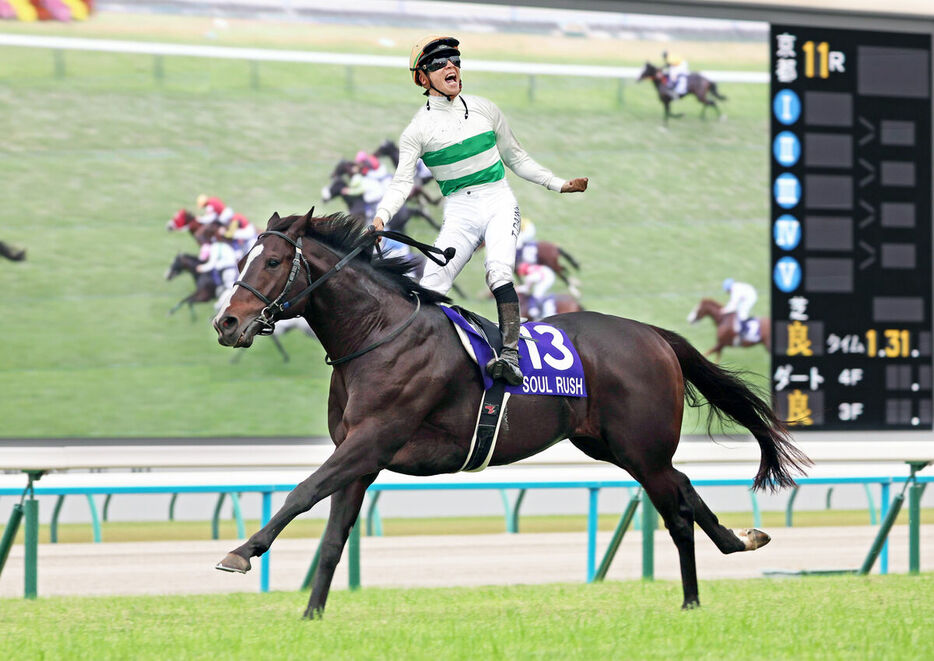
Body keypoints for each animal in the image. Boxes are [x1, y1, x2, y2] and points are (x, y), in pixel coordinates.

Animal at [214, 211, 812, 620]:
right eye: (242, 260)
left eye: (271, 262)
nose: (226, 323)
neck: (376, 335)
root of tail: (654, 335)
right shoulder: (358, 456)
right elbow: (334, 537)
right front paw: (311, 615)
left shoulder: (373, 439)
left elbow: (301, 492)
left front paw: (241, 553)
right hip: (617, 447)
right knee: (684, 487)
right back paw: (739, 541)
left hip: (641, 448)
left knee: (677, 510)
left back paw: (691, 601)